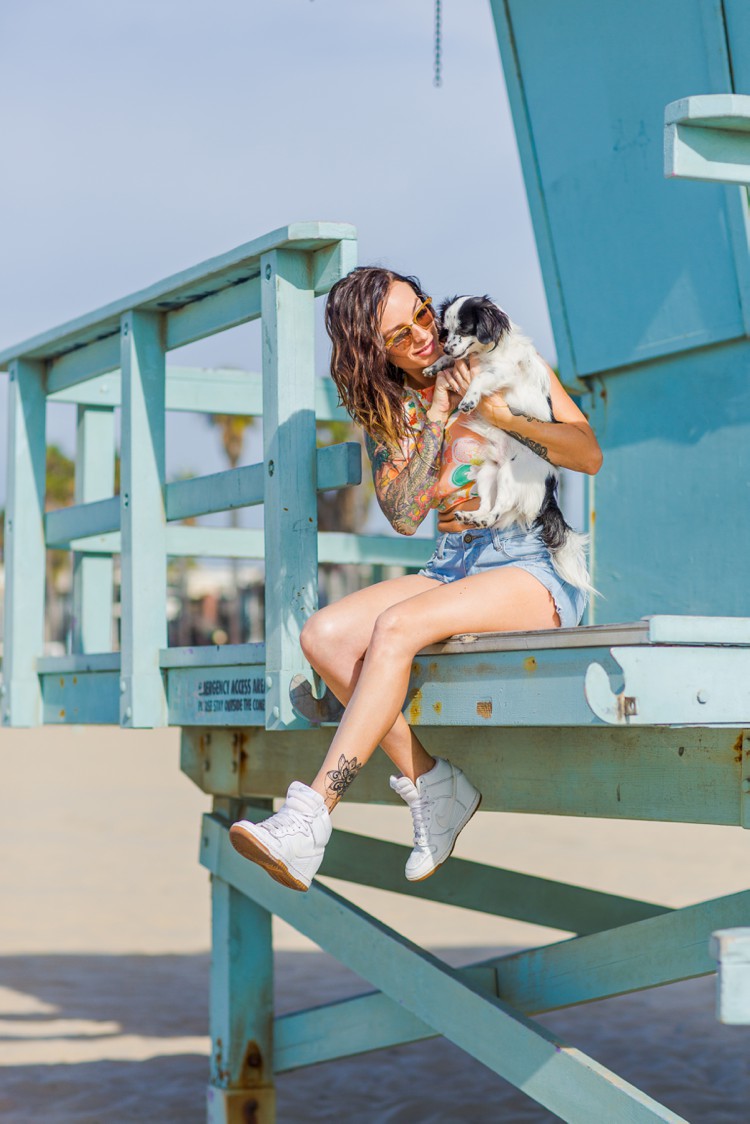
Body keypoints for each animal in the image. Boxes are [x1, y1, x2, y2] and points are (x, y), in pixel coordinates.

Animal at [425, 296, 593, 597]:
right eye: (446, 329)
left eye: (464, 328)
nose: (445, 346)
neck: (485, 353)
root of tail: (549, 491)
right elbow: (453, 362)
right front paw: (436, 365)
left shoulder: (501, 372)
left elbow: (479, 379)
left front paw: (468, 399)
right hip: (488, 473)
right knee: (489, 509)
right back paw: (472, 517)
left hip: (508, 477)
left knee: (499, 509)